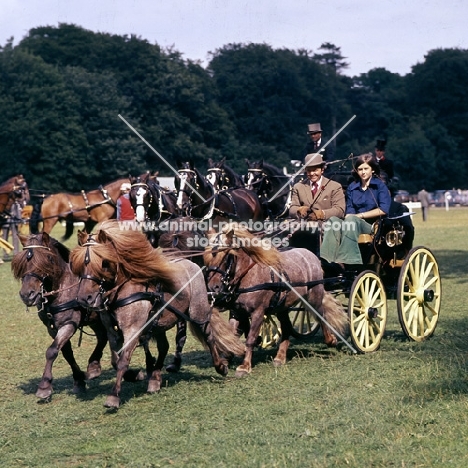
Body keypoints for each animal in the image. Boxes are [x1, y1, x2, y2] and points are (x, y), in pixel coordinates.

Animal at [69, 221, 245, 408]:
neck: (124, 289)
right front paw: (135, 375)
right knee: (164, 347)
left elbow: (123, 360)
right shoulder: (112, 331)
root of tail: (189, 262)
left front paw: (113, 396)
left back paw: (220, 366)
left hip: (198, 312)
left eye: (103, 262)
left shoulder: (133, 330)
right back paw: (154, 379)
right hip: (159, 323)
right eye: (79, 265)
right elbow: (116, 361)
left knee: (209, 336)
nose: (84, 298)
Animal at [205, 223, 348, 376]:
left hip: (314, 296)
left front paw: (244, 366)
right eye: (208, 258)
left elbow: (250, 338)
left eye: (227, 256)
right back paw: (280, 357)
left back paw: (330, 340)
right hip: (282, 306)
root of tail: (311, 254)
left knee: (320, 315)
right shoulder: (237, 313)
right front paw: (225, 361)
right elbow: (232, 336)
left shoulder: (258, 312)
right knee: (286, 328)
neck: (248, 275)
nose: (213, 287)